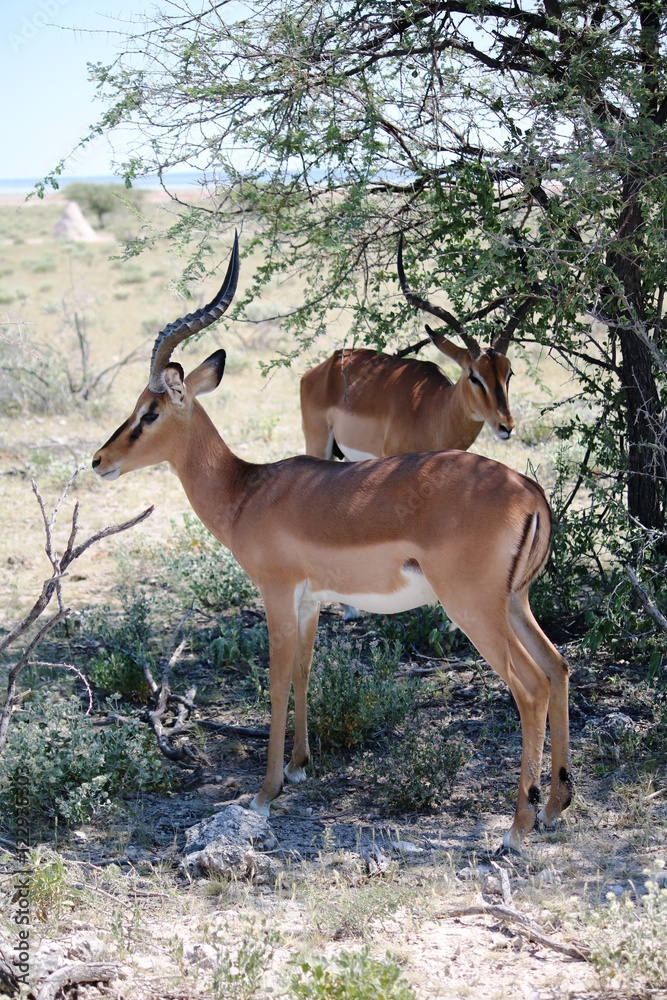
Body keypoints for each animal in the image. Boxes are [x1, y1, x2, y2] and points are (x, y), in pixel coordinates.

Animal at [300, 236, 515, 461]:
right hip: (318, 446)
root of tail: (326, 366)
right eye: (474, 377)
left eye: (509, 373)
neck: (435, 409)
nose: (506, 426)